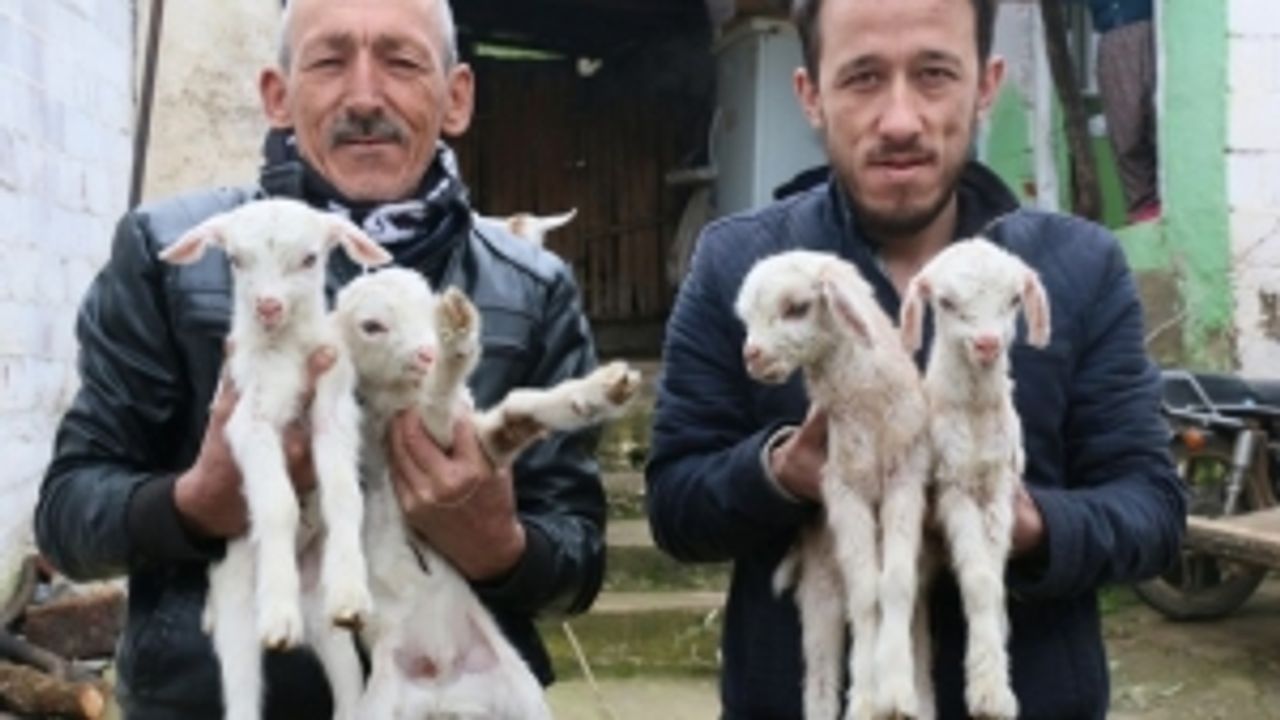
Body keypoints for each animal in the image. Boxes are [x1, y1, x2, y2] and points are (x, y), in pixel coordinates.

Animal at [159, 198, 391, 720]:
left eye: (309, 258)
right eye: (235, 260)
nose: (268, 305)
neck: (287, 348)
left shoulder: (333, 411)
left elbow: (344, 496)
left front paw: (353, 590)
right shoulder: (251, 421)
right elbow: (278, 504)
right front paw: (280, 615)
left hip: (324, 619)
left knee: (347, 680)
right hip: (237, 603)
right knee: (241, 688)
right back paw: (279, 616)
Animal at [333, 266, 641, 719]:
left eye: (426, 306)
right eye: (372, 326)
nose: (427, 354)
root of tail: (442, 691)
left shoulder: (479, 444)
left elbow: (518, 408)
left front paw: (600, 392)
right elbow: (438, 404)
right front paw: (457, 339)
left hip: (524, 697)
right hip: (374, 707)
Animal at [735, 250, 931, 720]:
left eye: (797, 308)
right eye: (747, 317)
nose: (752, 356)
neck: (867, 405)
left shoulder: (906, 477)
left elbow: (894, 582)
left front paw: (894, 691)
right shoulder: (842, 487)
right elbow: (865, 593)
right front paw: (867, 697)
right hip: (819, 588)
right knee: (820, 678)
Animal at [899, 237, 1052, 720]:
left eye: (1015, 299)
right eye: (946, 303)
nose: (987, 343)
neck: (975, 414)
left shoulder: (1000, 486)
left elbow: (993, 574)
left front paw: (995, 661)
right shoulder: (953, 486)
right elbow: (980, 581)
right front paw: (989, 694)